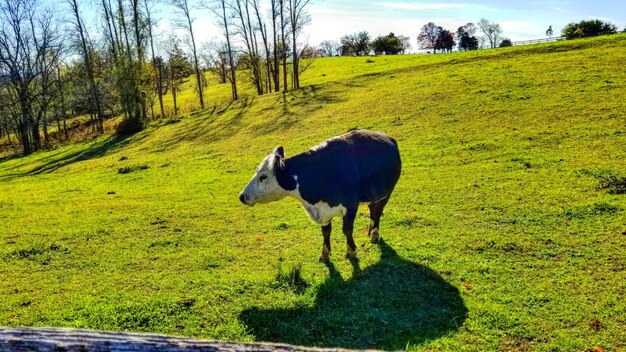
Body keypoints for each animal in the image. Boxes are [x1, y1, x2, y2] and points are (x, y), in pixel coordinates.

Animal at [239, 130, 400, 262]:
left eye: (263, 176)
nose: (242, 196)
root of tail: (386, 137)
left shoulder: (350, 205)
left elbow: (347, 229)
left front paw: (351, 251)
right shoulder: (322, 212)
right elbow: (326, 232)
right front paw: (325, 254)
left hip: (386, 192)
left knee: (377, 211)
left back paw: (374, 234)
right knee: (373, 210)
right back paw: (371, 230)